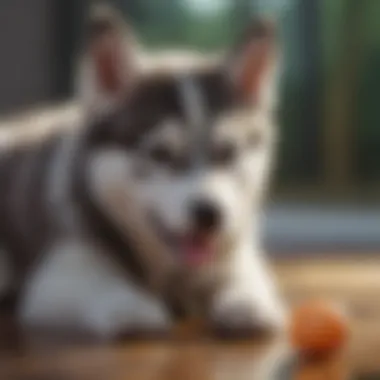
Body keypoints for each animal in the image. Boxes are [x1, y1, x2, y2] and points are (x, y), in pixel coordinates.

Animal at [0, 5, 284, 338]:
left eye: (228, 153)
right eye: (160, 154)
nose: (209, 215)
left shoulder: (236, 255)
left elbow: (247, 280)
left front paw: (247, 302)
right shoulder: (59, 275)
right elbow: (116, 298)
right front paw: (136, 307)